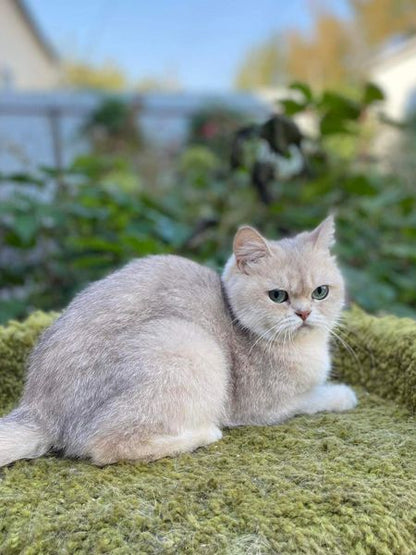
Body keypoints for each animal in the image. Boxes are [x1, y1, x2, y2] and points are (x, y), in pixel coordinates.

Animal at [0, 215, 358, 466]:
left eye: (320, 292)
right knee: (105, 446)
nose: (304, 313)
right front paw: (342, 394)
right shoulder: (272, 407)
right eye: (278, 296)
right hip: (190, 347)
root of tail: (39, 409)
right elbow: (314, 397)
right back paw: (203, 434)